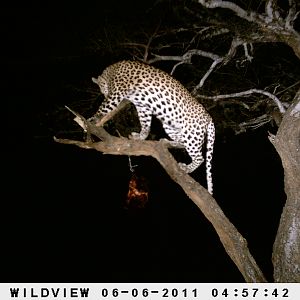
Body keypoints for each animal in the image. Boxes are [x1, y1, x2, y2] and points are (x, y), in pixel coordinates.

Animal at [89, 59, 216, 195]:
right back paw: (168, 142)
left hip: (191, 134)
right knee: (182, 143)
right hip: (171, 126)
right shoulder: (142, 106)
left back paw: (186, 168)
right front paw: (140, 136)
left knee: (200, 157)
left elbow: (104, 107)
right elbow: (145, 123)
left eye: (102, 89)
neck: (112, 71)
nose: (104, 93)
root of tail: (209, 117)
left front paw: (91, 119)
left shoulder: (116, 92)